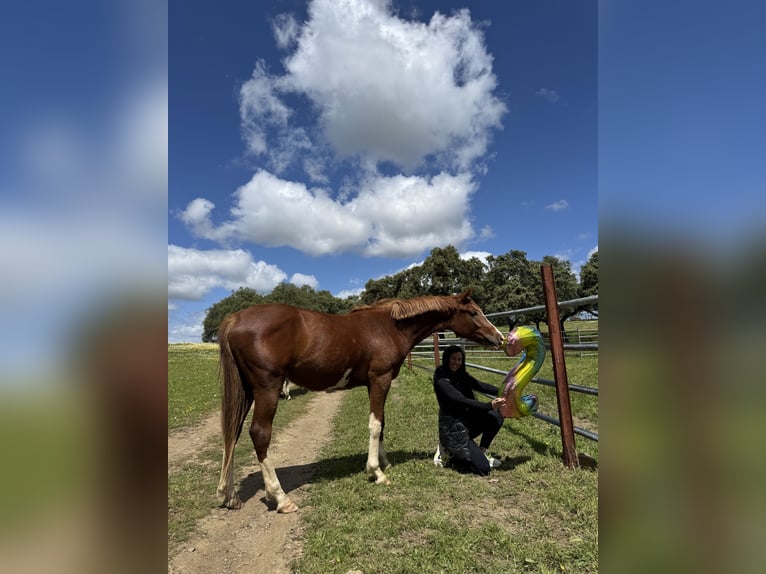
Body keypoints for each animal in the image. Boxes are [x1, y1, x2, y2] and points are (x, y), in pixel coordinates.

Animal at [216, 288, 504, 513]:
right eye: (474, 313)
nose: (499, 338)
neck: (389, 327)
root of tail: (235, 318)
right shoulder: (380, 380)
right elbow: (375, 425)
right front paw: (376, 472)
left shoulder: (374, 384)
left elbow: (382, 422)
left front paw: (385, 462)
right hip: (267, 389)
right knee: (259, 434)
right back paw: (280, 498)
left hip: (247, 391)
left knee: (233, 433)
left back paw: (229, 495)